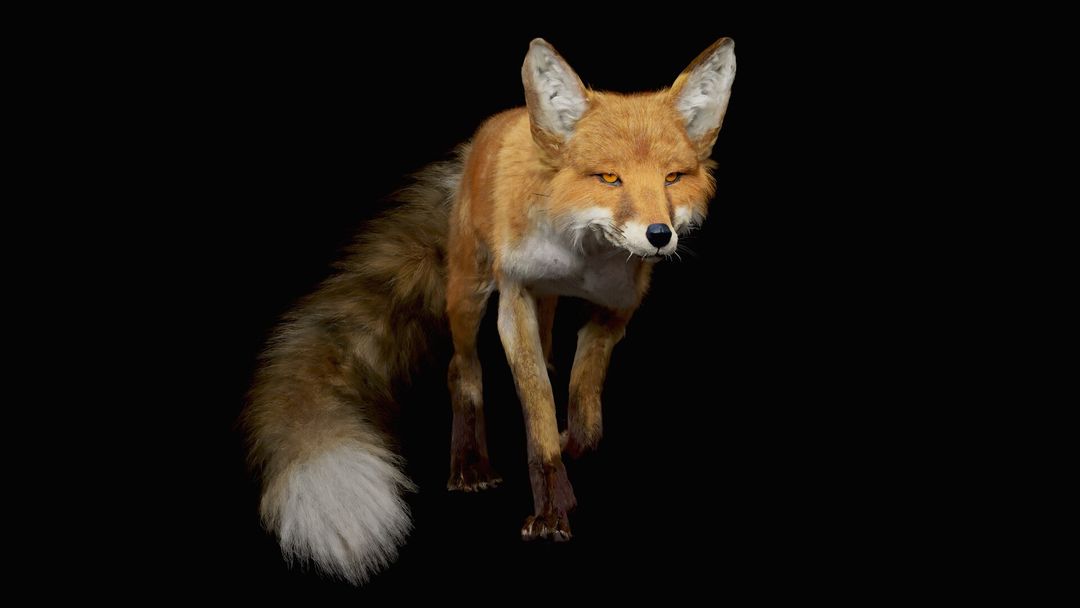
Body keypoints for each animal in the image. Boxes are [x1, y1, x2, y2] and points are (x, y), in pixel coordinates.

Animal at [244, 37, 736, 584]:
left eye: (673, 178)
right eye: (609, 178)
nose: (659, 236)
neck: (581, 258)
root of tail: (505, 119)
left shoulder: (616, 310)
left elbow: (585, 407)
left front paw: (570, 440)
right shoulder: (514, 301)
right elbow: (537, 415)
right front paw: (551, 510)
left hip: (540, 301)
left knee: (546, 355)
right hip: (468, 293)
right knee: (462, 370)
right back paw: (469, 466)